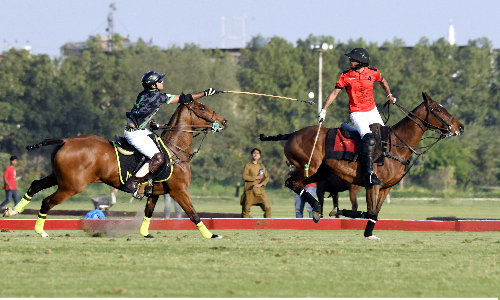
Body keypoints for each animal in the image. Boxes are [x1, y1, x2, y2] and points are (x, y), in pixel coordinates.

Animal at [2, 101, 227, 239]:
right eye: (202, 108)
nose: (224, 121)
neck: (174, 151)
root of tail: (65, 140)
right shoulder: (179, 191)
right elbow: (193, 214)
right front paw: (211, 235)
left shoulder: (155, 192)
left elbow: (148, 212)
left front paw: (145, 233)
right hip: (72, 186)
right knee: (47, 201)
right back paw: (40, 231)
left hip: (59, 177)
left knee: (35, 185)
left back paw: (13, 210)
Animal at [266, 92, 464, 239]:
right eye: (438, 109)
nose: (460, 127)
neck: (396, 145)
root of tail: (292, 134)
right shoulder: (372, 185)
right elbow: (369, 211)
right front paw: (343, 215)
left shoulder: (386, 187)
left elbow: (374, 212)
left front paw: (366, 231)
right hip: (310, 167)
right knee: (293, 183)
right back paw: (316, 208)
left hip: (318, 172)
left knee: (292, 183)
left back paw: (316, 209)